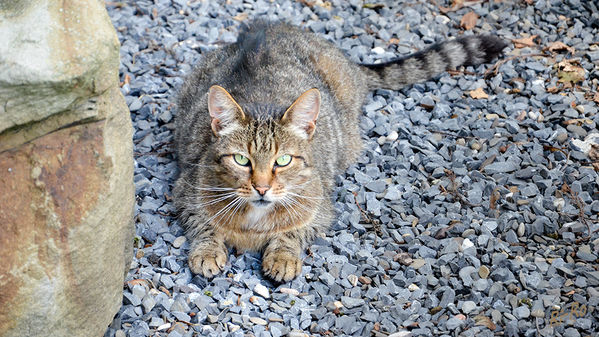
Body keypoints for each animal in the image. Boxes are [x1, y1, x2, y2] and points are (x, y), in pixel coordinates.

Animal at [173, 19, 506, 280]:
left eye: (283, 160)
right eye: (242, 160)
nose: (262, 188)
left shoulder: (319, 209)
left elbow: (291, 232)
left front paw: (282, 256)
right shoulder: (185, 192)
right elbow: (204, 225)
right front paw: (207, 251)